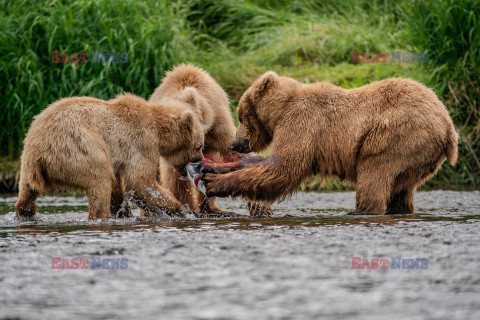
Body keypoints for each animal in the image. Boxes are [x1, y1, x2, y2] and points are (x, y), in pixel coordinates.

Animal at [15, 93, 203, 220]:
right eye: (199, 146)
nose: (199, 161)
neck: (158, 129)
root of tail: (39, 152)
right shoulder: (141, 142)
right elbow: (140, 182)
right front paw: (181, 209)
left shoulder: (119, 159)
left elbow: (118, 187)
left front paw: (123, 212)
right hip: (77, 148)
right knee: (100, 179)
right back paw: (101, 215)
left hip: (26, 157)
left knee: (26, 193)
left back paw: (24, 212)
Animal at [148, 63, 272, 216]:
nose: (192, 161)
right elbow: (173, 179)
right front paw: (187, 206)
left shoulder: (218, 124)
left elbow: (236, 153)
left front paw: (261, 207)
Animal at [202, 72, 458, 215]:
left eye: (242, 116)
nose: (235, 144)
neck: (281, 111)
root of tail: (448, 127)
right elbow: (267, 163)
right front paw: (212, 168)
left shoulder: (303, 123)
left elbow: (283, 169)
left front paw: (214, 182)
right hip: (419, 157)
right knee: (402, 189)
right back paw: (398, 209)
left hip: (396, 134)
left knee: (374, 174)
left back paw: (360, 211)